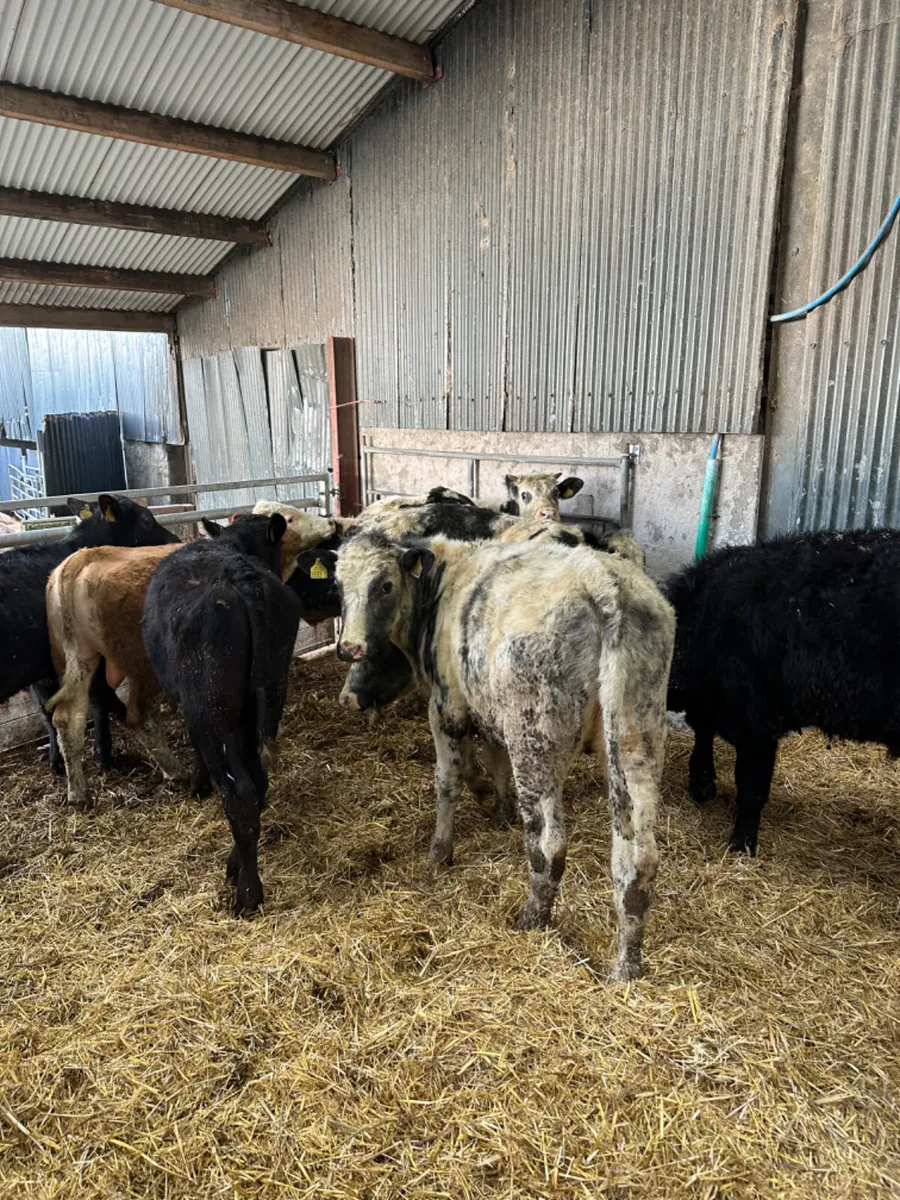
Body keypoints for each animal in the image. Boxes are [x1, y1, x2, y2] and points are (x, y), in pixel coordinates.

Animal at [0, 494, 179, 777]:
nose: (175, 538)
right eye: (146, 519)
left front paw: (59, 760)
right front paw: (101, 753)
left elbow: (49, 712)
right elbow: (96, 703)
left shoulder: (42, 672)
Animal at [335, 532, 675, 979]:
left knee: (549, 844)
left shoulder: (447, 708)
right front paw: (498, 807)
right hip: (636, 739)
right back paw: (626, 967)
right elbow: (491, 761)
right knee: (638, 859)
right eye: (338, 586)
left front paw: (440, 851)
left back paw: (533, 919)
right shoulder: (489, 714)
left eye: (384, 585)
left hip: (535, 741)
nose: (349, 649)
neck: (443, 585)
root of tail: (598, 576)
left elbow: (449, 781)